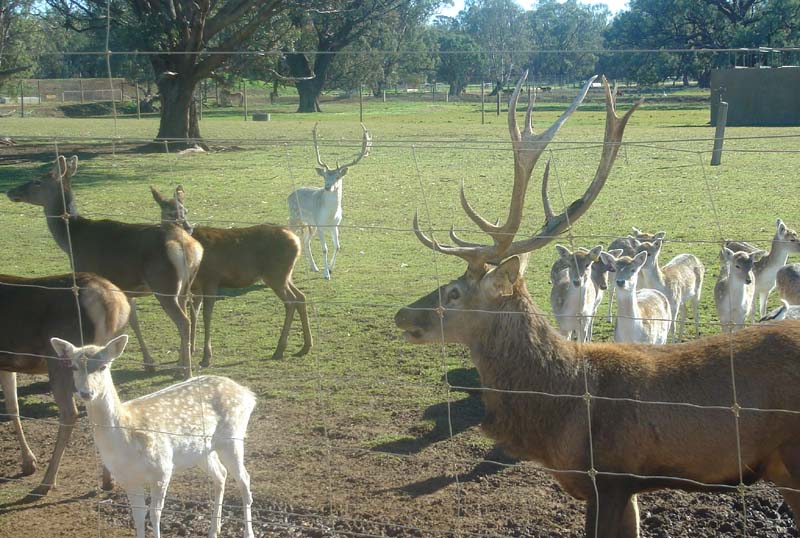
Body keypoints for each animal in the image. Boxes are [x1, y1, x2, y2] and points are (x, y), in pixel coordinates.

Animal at [0, 272, 129, 498]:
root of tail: (113, 303)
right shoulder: (7, 363)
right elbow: (12, 407)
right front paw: (28, 463)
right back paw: (108, 479)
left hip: (60, 359)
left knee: (70, 412)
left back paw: (47, 481)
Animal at [7, 156, 203, 378]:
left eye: (37, 181)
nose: (11, 191)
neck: (72, 240)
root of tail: (189, 246)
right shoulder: (126, 287)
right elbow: (133, 320)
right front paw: (148, 363)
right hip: (185, 284)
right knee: (189, 314)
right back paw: (181, 365)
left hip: (163, 284)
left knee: (183, 321)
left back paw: (186, 372)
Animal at [50, 334, 256, 538]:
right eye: (74, 367)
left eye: (103, 366)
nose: (86, 392)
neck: (124, 439)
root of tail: (249, 394)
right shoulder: (127, 478)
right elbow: (138, 515)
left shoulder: (162, 469)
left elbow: (155, 514)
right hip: (202, 451)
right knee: (221, 474)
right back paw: (214, 529)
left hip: (233, 437)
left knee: (244, 479)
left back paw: (248, 532)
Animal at [151, 185, 313, 366]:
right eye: (170, 212)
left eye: (185, 211)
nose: (187, 227)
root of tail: (296, 241)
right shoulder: (196, 286)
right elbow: (193, 315)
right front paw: (189, 352)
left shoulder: (211, 279)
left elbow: (206, 315)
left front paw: (206, 357)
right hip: (284, 274)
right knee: (301, 297)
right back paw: (305, 347)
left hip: (276, 274)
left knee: (291, 301)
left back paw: (280, 350)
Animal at [287, 123, 372, 280]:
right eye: (325, 176)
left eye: (338, 177)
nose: (327, 187)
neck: (329, 216)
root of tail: (290, 195)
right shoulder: (320, 225)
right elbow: (324, 249)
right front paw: (326, 274)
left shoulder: (335, 225)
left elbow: (337, 246)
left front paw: (331, 269)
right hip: (294, 216)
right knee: (294, 235)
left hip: (310, 224)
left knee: (306, 241)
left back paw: (314, 267)